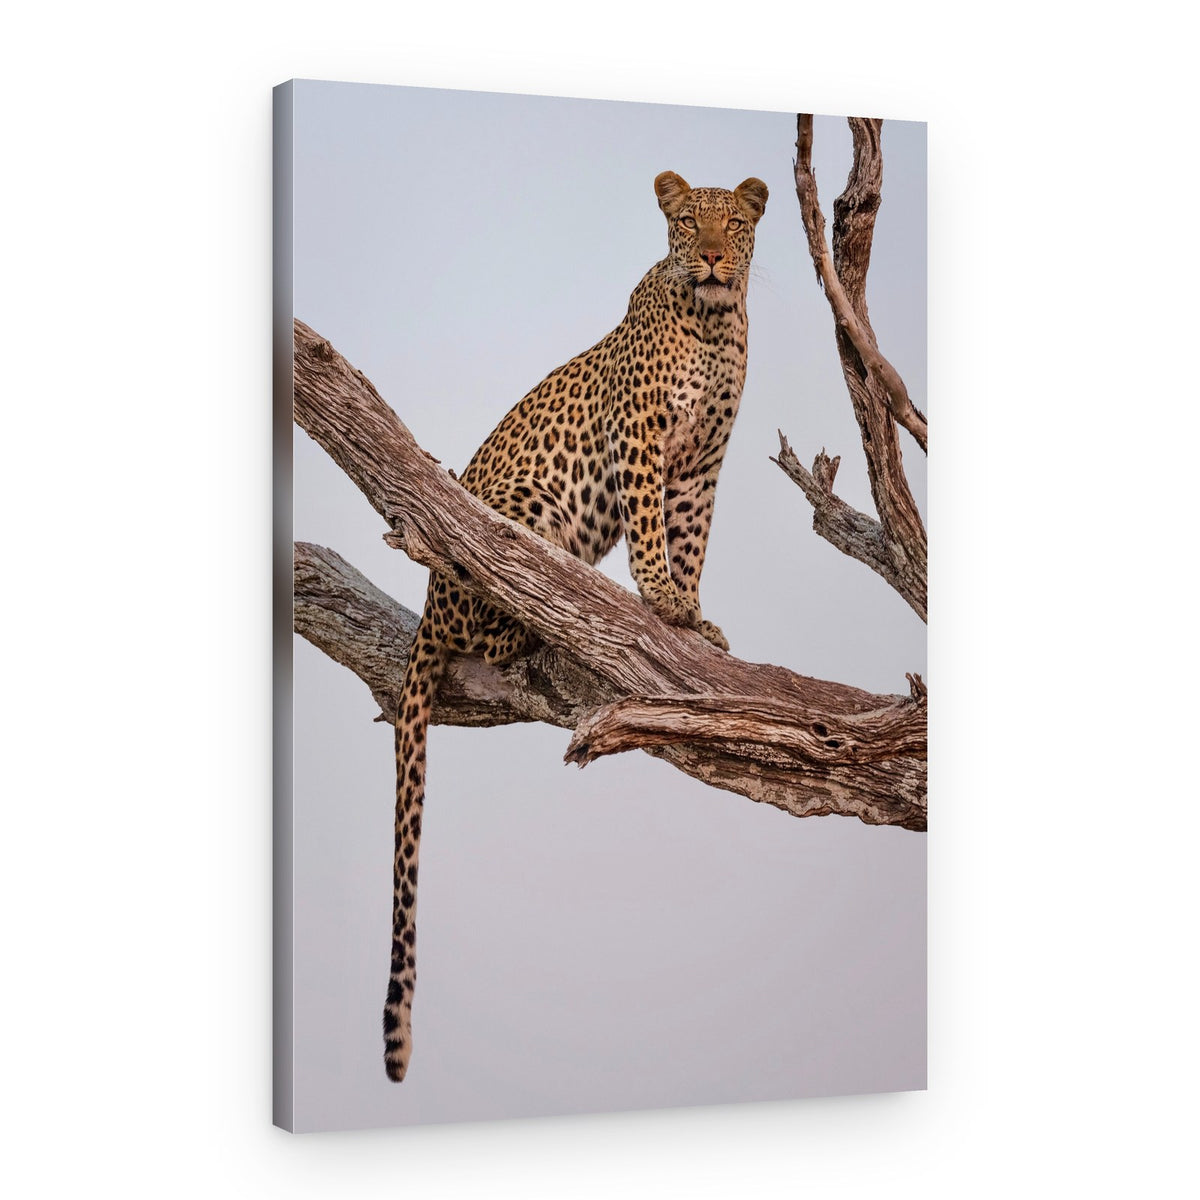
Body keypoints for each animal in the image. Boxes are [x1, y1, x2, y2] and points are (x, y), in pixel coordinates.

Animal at [384, 169, 769, 1081]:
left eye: (734, 225)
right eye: (686, 222)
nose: (712, 256)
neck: (712, 322)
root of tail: (425, 606)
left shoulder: (702, 463)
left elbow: (691, 537)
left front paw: (692, 621)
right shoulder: (643, 437)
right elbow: (654, 530)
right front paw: (662, 602)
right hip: (517, 519)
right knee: (500, 609)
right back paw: (551, 621)